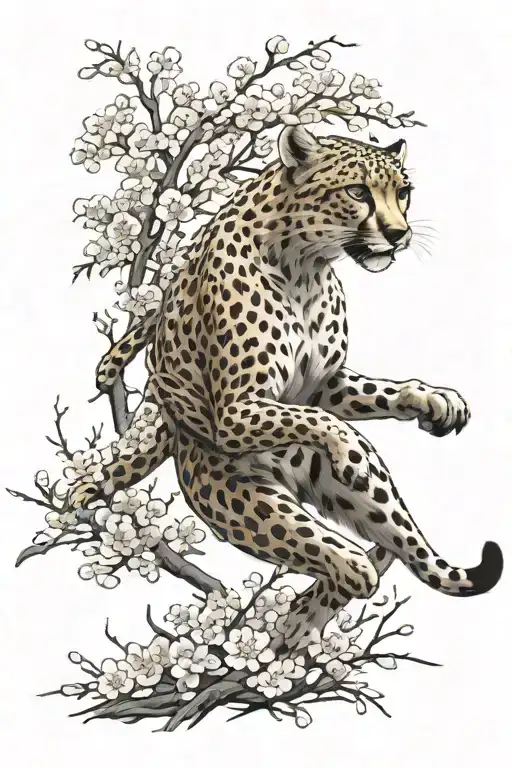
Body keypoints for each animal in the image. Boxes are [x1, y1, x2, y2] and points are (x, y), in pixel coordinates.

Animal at [70, 125, 503, 647]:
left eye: (403, 192)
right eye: (358, 192)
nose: (398, 234)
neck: (304, 265)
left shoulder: (322, 385)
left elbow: (354, 398)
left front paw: (430, 398)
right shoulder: (237, 412)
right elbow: (322, 421)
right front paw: (350, 449)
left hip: (357, 497)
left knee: (398, 547)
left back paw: (303, 618)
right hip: (234, 492)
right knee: (337, 556)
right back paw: (329, 585)